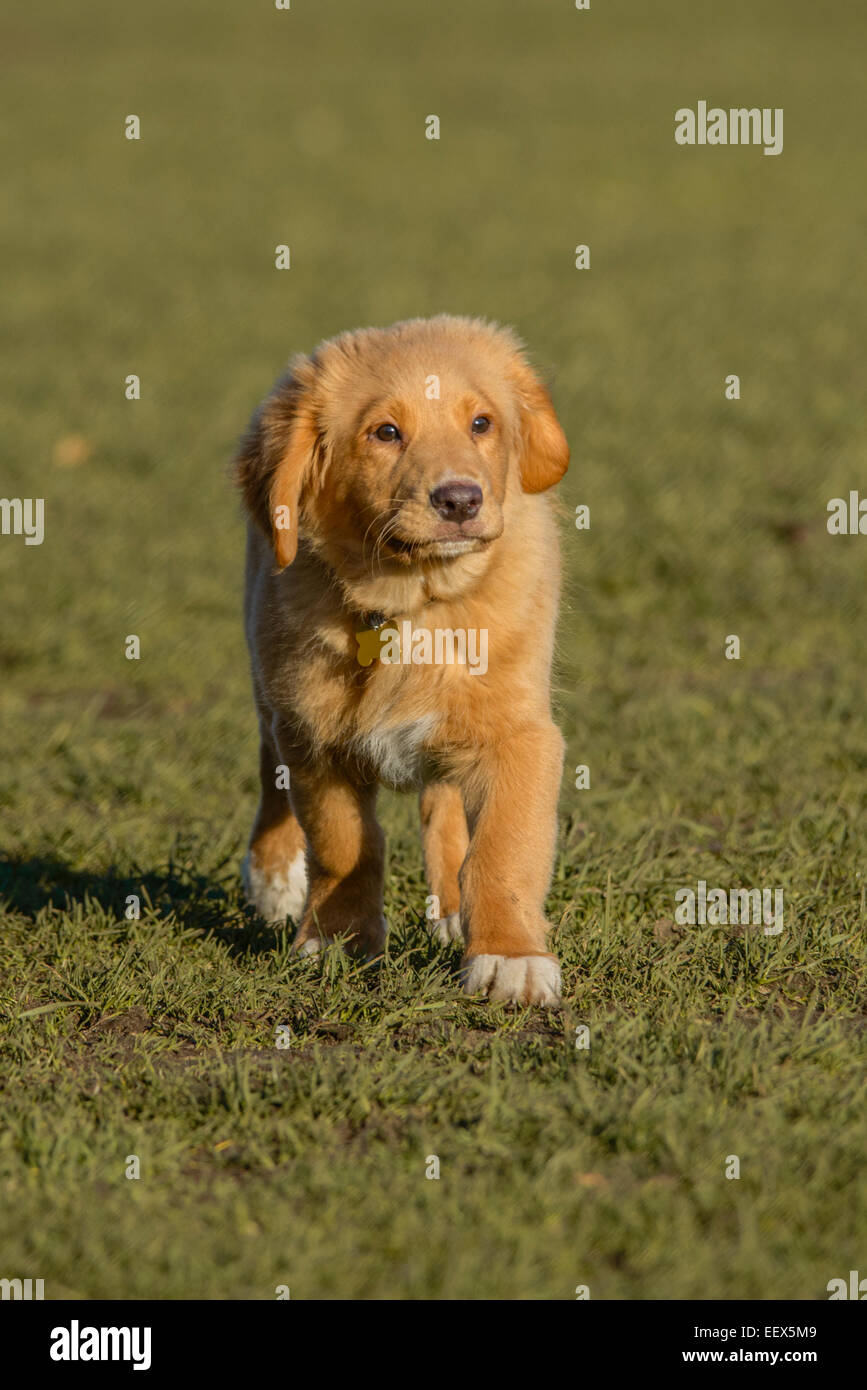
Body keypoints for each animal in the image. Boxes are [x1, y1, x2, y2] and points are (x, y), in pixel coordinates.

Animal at [234, 315, 569, 1006]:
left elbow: (504, 850)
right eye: (385, 432)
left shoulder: (519, 733)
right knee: (268, 766)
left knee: (444, 806)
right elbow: (343, 845)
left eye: (482, 423)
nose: (461, 501)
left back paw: (451, 909)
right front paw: (337, 941)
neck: (414, 602)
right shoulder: (313, 735)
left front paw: (511, 958)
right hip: (268, 681)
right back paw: (273, 877)